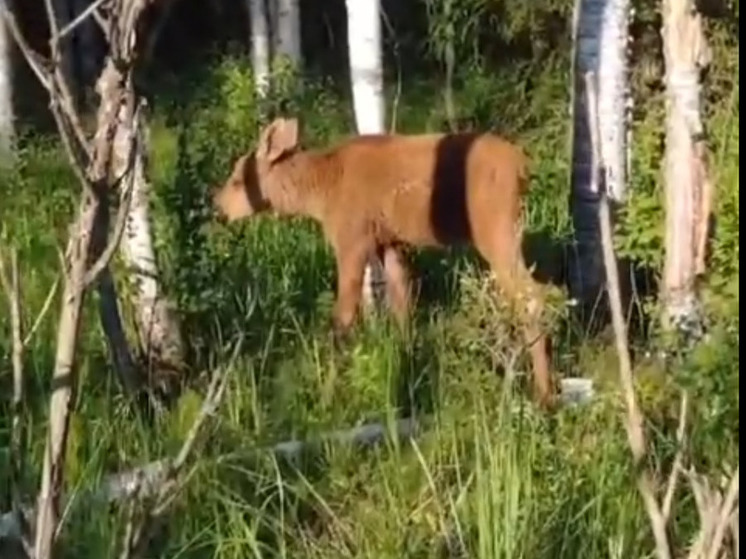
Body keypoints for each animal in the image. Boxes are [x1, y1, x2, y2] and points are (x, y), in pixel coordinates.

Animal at [212, 117, 556, 406]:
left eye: (238, 180)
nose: (218, 209)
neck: (319, 193)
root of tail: (523, 166)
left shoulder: (352, 241)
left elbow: (343, 320)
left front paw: (327, 396)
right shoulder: (389, 244)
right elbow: (402, 306)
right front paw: (408, 370)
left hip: (495, 230)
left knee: (532, 296)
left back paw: (543, 395)